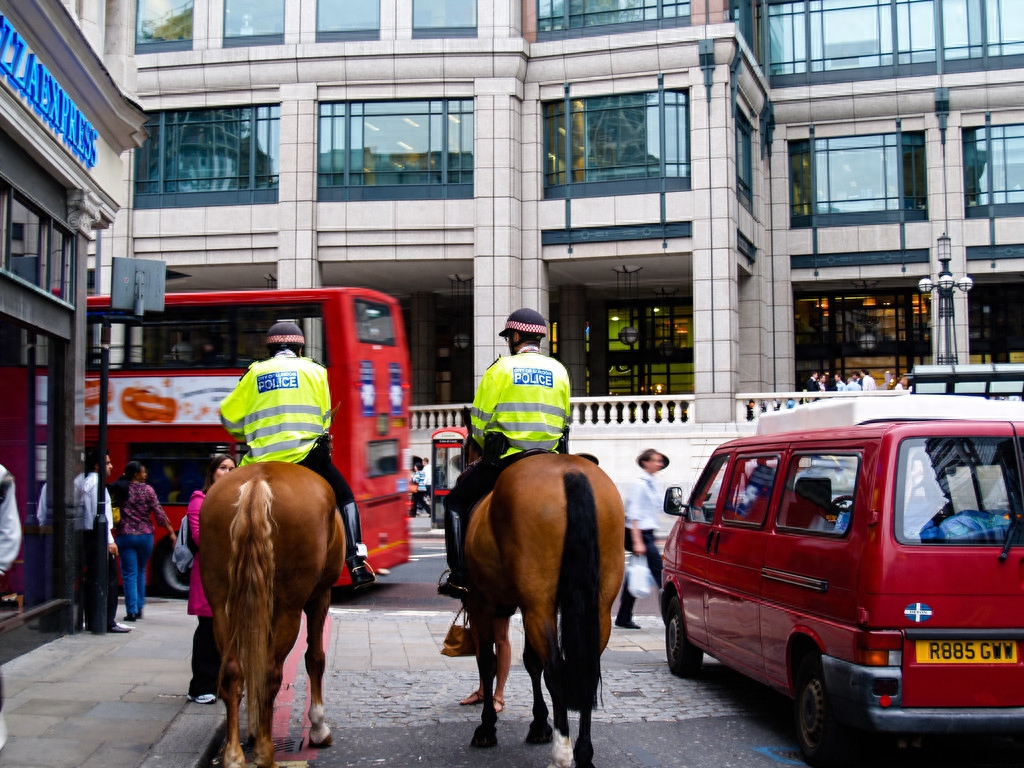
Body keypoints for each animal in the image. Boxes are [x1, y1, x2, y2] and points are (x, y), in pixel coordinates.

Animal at [198, 462, 344, 768]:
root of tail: (258, 480)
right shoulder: (320, 596)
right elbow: (315, 657)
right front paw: (318, 728)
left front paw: (254, 728)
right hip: (289, 605)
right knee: (270, 670)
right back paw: (265, 753)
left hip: (222, 603)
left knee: (233, 670)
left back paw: (234, 755)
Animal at [464, 456, 622, 768]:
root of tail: (570, 470)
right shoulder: (523, 606)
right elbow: (530, 661)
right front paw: (539, 724)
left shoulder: (481, 601)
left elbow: (487, 661)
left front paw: (487, 727)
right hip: (597, 607)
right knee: (586, 670)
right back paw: (584, 754)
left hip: (538, 604)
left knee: (556, 670)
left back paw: (562, 754)